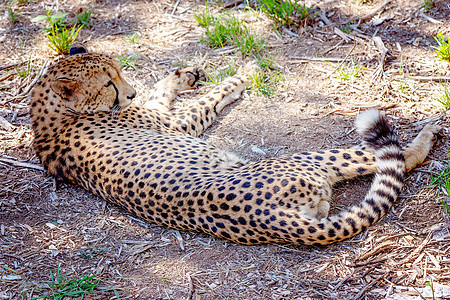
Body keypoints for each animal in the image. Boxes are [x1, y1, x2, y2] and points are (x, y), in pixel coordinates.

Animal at [29, 45, 442, 245]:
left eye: (118, 73)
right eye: (108, 84)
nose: (128, 94)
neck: (49, 111)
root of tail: (270, 218)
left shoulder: (162, 113)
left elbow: (165, 90)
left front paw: (185, 74)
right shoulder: (176, 122)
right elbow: (209, 98)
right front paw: (244, 73)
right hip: (311, 158)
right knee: (394, 158)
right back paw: (427, 131)